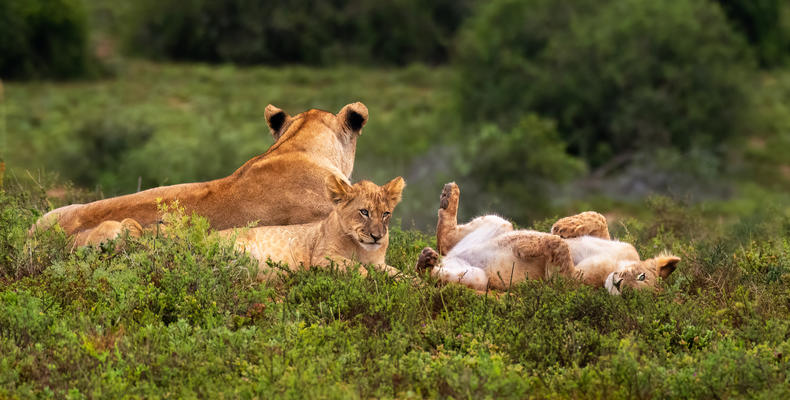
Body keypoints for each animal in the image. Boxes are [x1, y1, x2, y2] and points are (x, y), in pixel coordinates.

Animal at [224, 175, 406, 282]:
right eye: (364, 212)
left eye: (386, 213)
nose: (377, 237)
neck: (361, 248)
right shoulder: (322, 257)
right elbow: (359, 269)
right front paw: (371, 280)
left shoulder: (378, 263)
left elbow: (401, 273)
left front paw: (411, 283)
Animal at [418, 183, 684, 296]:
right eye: (641, 276)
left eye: (634, 298)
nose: (620, 286)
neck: (616, 264)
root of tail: (450, 259)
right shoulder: (621, 245)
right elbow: (598, 219)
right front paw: (564, 226)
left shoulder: (566, 283)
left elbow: (560, 247)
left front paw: (531, 244)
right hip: (499, 223)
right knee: (446, 239)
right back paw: (448, 195)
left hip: (477, 278)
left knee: (435, 274)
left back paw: (425, 262)